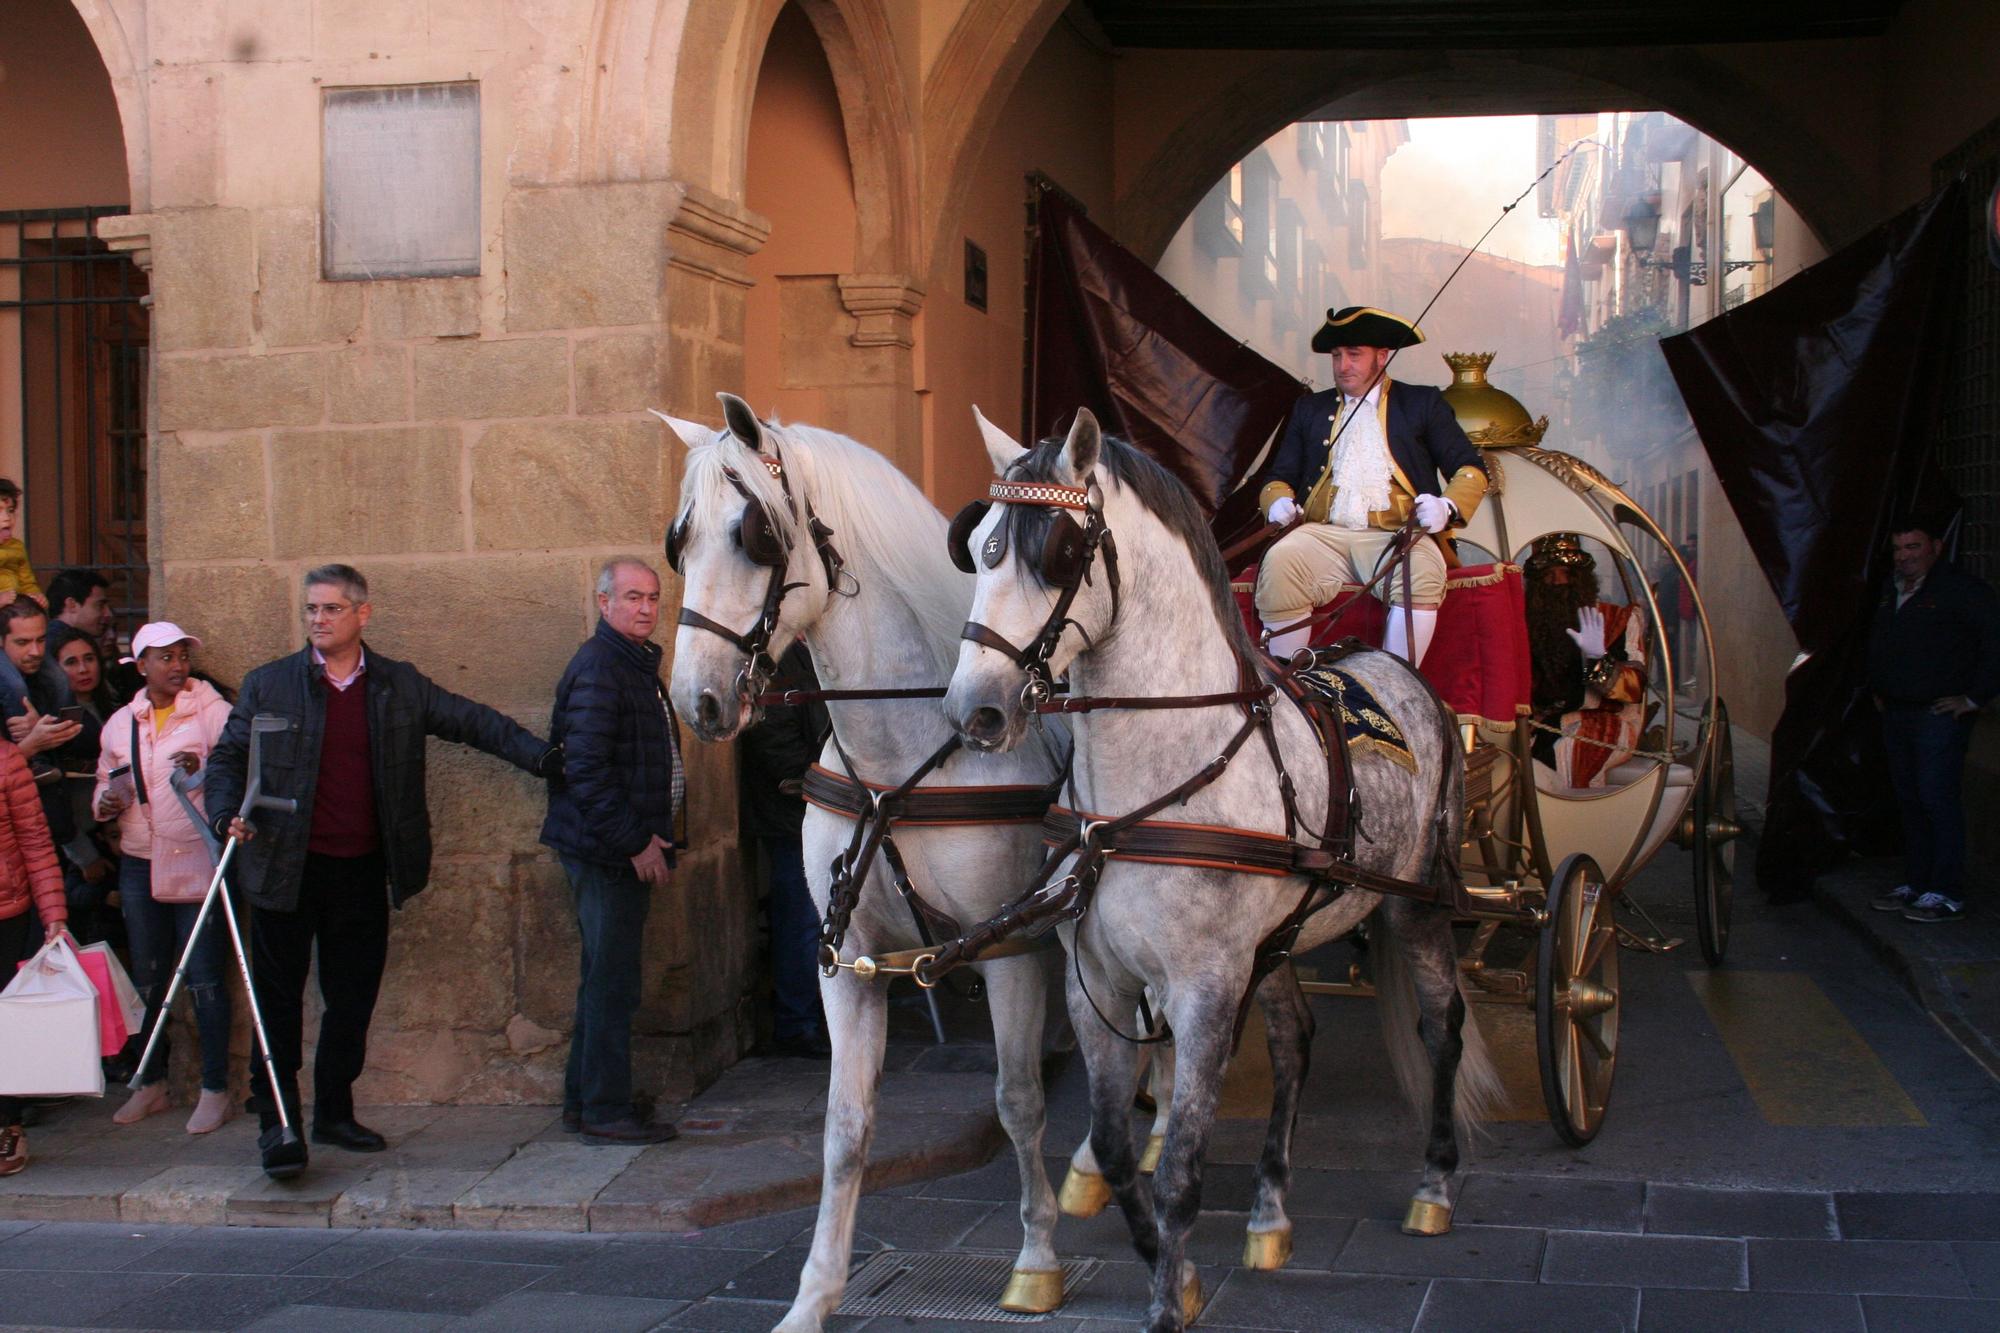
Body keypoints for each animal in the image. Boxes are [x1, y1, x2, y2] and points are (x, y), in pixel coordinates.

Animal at [944, 408, 1496, 1328]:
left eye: (1057, 551)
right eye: (978, 547)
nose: (972, 710)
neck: (1150, 790)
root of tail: (1395, 666)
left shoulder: (1203, 987)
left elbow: (1180, 1167)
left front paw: (1170, 1298)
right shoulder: (1098, 978)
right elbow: (1113, 1142)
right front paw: (1168, 1264)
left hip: (1414, 902)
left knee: (1440, 1024)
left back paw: (1436, 1184)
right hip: (1276, 941)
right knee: (1294, 1037)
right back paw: (1270, 1210)